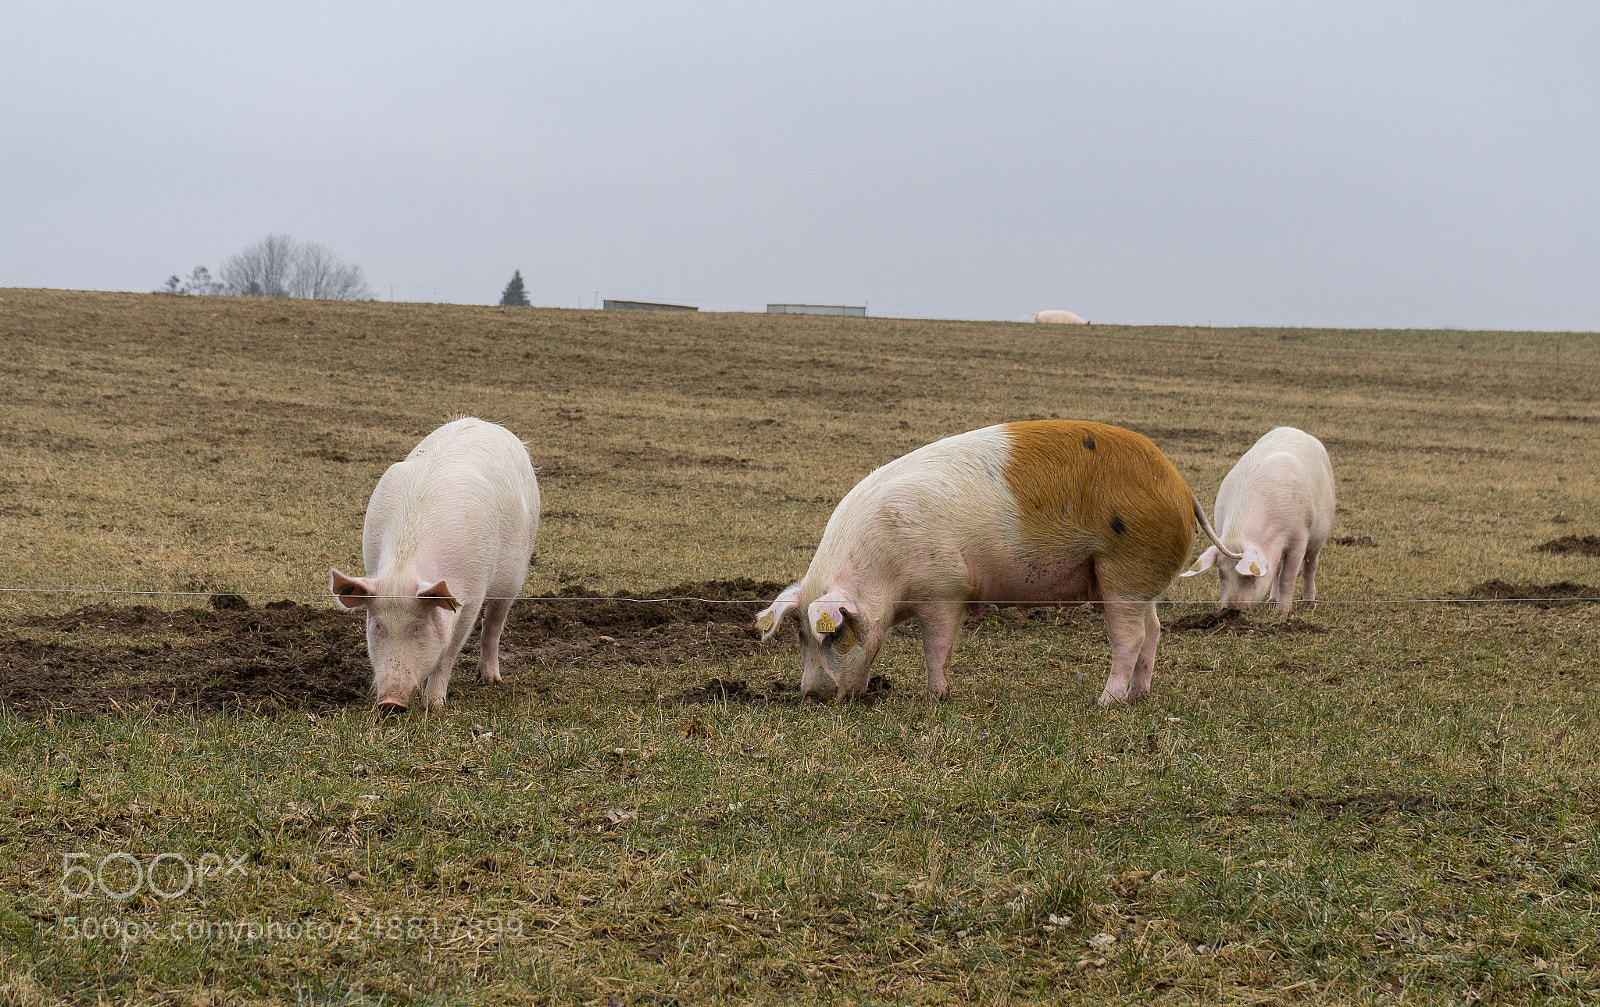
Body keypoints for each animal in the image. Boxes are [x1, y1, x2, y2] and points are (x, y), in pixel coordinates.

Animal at [329, 417, 540, 711]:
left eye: (418, 626)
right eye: (378, 626)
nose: (390, 702)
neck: (405, 566)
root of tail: (484, 422)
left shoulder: (471, 594)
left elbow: (449, 650)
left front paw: (434, 705)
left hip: (515, 572)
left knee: (494, 624)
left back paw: (489, 680)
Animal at [756, 420, 1239, 705]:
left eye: (834, 634)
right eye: (799, 635)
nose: (811, 695)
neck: (882, 573)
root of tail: (1181, 487)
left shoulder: (944, 589)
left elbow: (937, 648)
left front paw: (935, 697)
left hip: (1125, 570)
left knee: (1131, 638)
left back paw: (1106, 702)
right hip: (1132, 578)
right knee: (1153, 631)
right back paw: (1139, 696)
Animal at [1180, 426, 1334, 612]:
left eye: (1250, 577)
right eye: (1221, 573)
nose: (1231, 610)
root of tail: (1295, 430)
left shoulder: (1300, 535)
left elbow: (1288, 577)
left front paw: (1282, 613)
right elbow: (1276, 573)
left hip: (1319, 535)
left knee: (1310, 566)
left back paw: (1309, 601)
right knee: (1277, 570)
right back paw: (1271, 600)